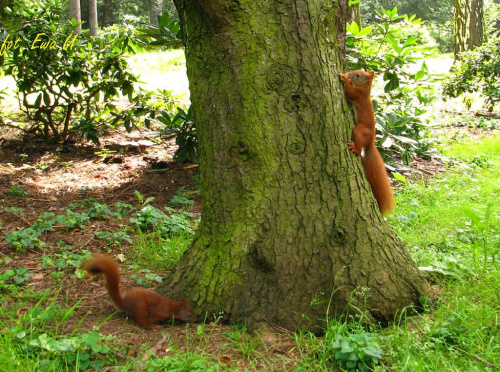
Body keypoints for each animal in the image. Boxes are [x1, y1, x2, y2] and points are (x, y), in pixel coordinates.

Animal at [340, 70, 394, 215]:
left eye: (358, 75)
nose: (349, 73)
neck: (365, 89)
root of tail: (370, 141)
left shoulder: (358, 95)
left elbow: (349, 92)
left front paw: (345, 79)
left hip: (359, 131)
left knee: (359, 149)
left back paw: (355, 148)